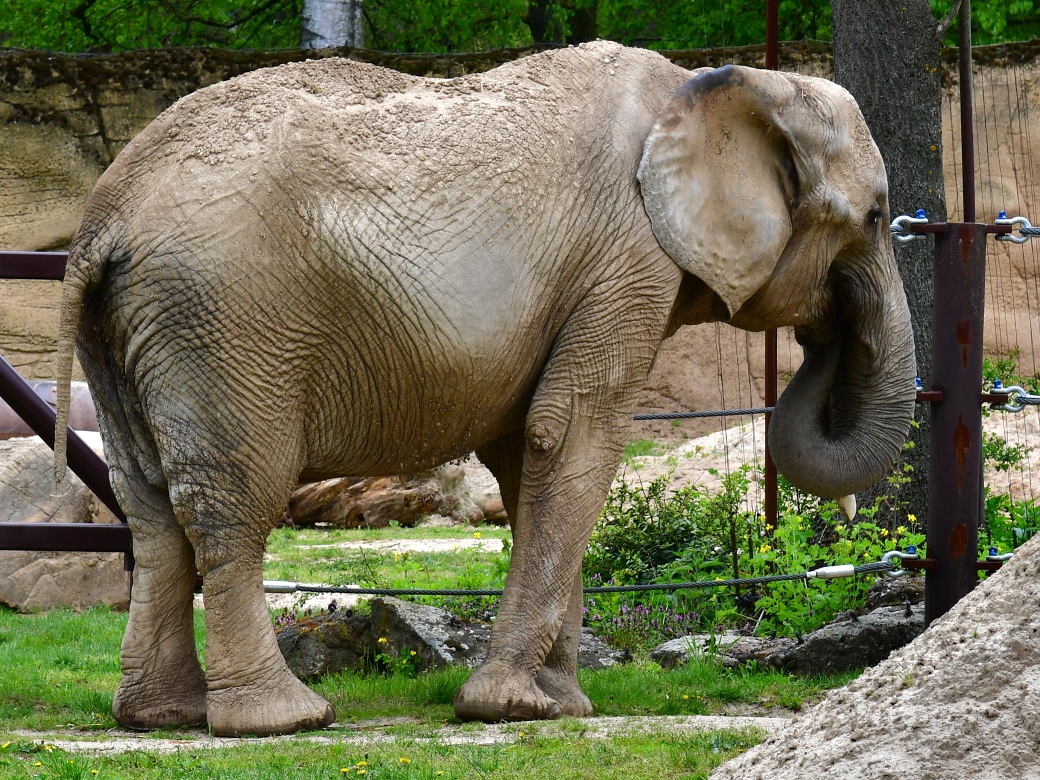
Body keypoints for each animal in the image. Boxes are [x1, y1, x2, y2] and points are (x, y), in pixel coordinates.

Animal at [56, 41, 915, 740]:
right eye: (875, 217)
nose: (821, 331)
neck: (722, 84)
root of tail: (104, 218)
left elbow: (525, 454)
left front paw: (561, 705)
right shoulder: (625, 263)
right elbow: (573, 438)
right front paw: (514, 708)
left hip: (136, 332)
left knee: (147, 502)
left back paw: (160, 716)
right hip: (226, 322)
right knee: (232, 502)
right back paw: (282, 720)